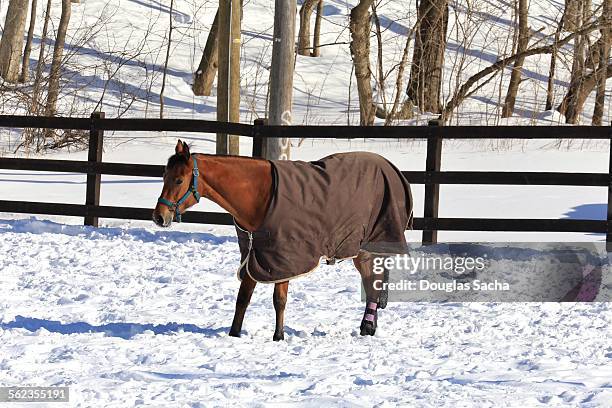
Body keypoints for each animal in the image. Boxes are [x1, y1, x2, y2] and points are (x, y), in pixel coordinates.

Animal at [153, 140, 414, 342]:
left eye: (179, 180)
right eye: (164, 176)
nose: (159, 216)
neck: (260, 195)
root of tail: (392, 169)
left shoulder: (284, 257)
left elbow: (279, 299)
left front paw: (278, 336)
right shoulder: (256, 255)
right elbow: (243, 298)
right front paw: (234, 334)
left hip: (366, 248)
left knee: (372, 283)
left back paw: (368, 326)